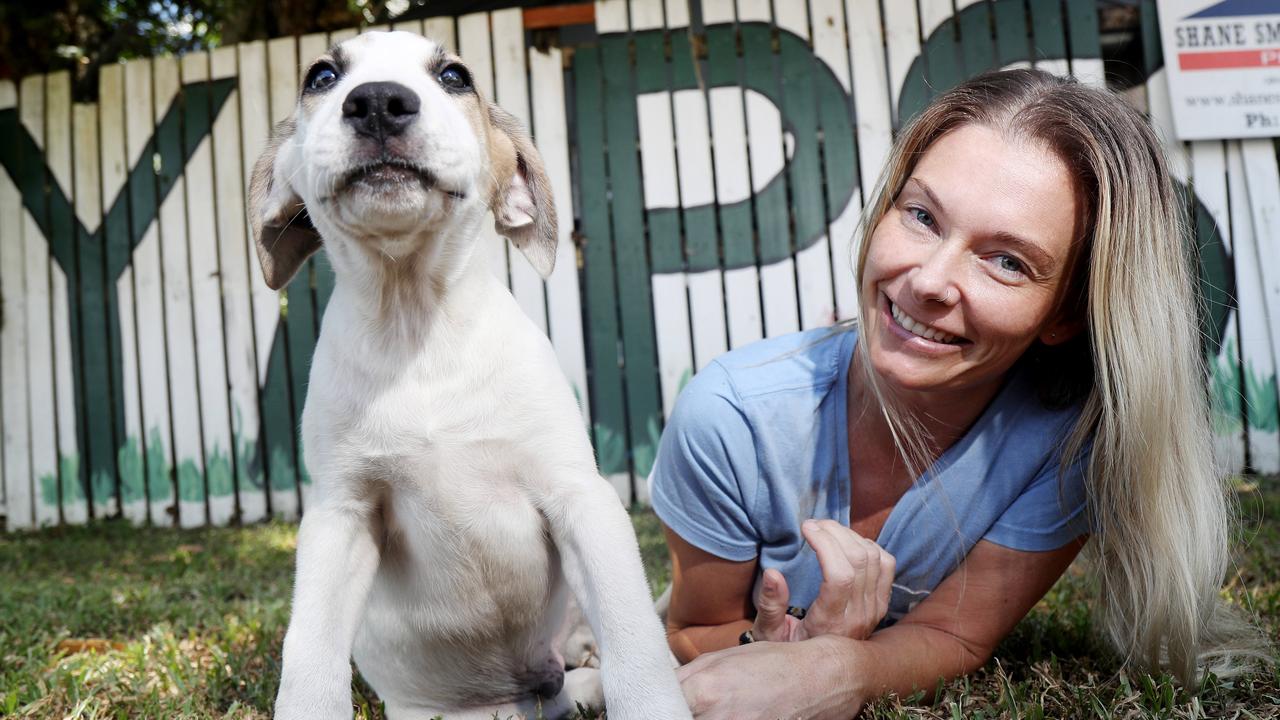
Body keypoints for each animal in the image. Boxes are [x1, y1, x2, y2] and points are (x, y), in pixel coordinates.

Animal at [247, 29, 691, 717]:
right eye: (321, 76)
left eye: (454, 76)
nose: (377, 103)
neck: (419, 332)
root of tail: (532, 694)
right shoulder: (339, 517)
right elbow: (308, 660)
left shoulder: (580, 500)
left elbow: (636, 646)